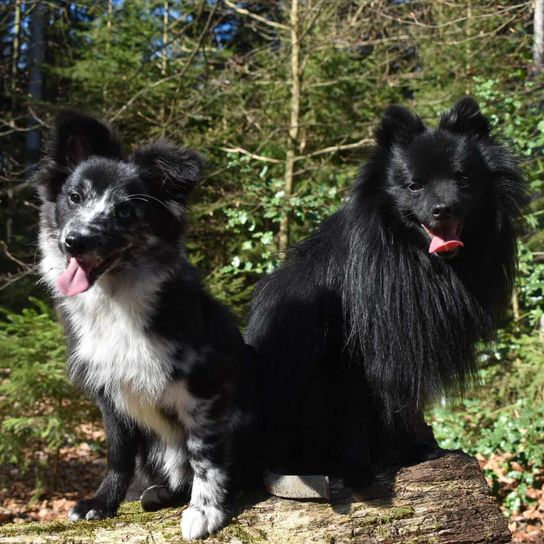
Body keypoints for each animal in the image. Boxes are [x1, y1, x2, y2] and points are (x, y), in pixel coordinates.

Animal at [36, 110, 258, 540]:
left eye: (125, 212)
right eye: (75, 197)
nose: (74, 242)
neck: (116, 301)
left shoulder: (205, 388)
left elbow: (204, 455)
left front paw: (205, 511)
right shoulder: (109, 393)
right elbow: (118, 456)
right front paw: (102, 503)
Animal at [246, 98, 528, 484]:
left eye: (463, 180)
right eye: (414, 187)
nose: (443, 209)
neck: (415, 257)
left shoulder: (407, 339)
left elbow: (404, 404)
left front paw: (417, 448)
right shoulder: (358, 349)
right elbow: (359, 409)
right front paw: (360, 469)